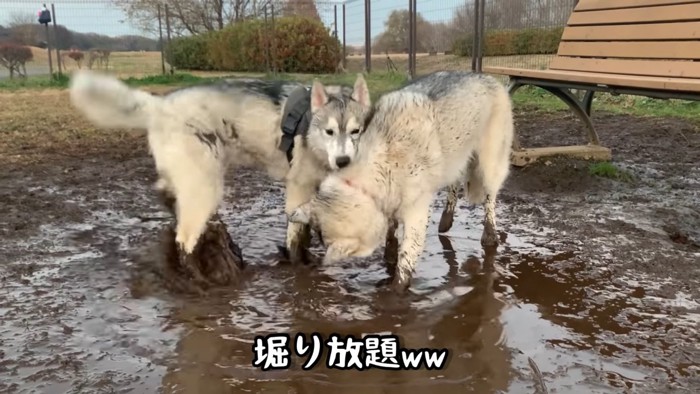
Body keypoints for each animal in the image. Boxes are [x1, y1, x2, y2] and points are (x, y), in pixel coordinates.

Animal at [69, 71, 372, 262]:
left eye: (356, 131)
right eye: (329, 132)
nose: (343, 161)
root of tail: (160, 104)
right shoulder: (297, 189)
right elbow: (296, 239)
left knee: (168, 197)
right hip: (205, 187)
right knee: (184, 240)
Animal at [288, 71, 516, 292]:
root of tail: (489, 77)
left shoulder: (416, 212)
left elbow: (406, 257)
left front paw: (396, 289)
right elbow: (391, 232)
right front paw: (389, 256)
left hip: (489, 165)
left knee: (490, 198)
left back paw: (489, 233)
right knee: (455, 182)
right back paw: (446, 218)